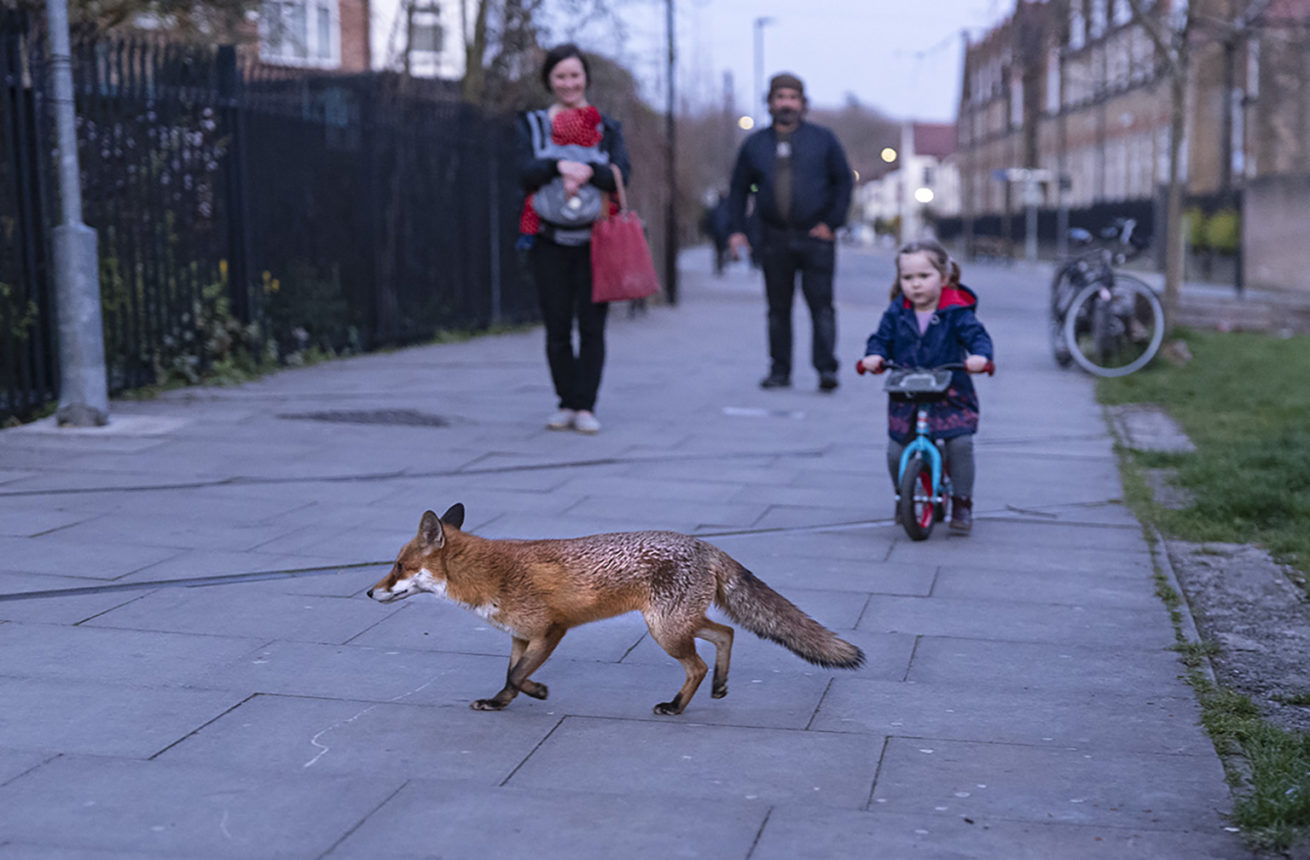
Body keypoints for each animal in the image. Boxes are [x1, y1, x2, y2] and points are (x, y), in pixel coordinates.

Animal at [367, 503, 866, 716]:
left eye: (398, 566)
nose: (370, 593)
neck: (490, 574)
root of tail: (705, 545)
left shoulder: (551, 631)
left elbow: (519, 675)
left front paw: (539, 692)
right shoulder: (521, 636)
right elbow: (509, 677)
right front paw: (498, 703)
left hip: (665, 629)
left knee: (699, 664)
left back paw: (676, 706)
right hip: (675, 623)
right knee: (726, 634)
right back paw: (719, 688)